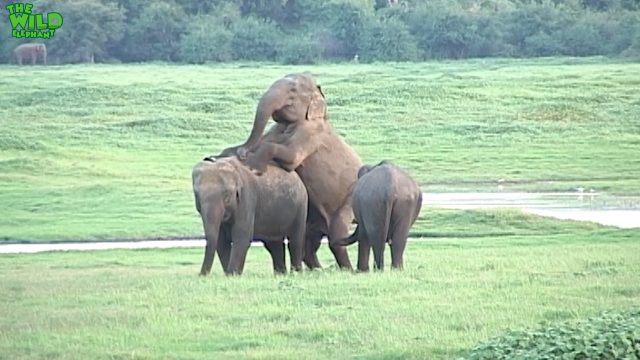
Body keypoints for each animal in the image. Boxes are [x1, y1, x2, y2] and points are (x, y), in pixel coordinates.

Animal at [215, 74, 362, 270]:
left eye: (293, 90)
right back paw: (319, 270)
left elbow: (291, 157)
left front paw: (253, 166)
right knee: (310, 241)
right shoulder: (279, 129)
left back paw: (348, 271)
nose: (243, 153)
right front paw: (223, 155)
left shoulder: (312, 134)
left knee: (336, 235)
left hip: (349, 198)